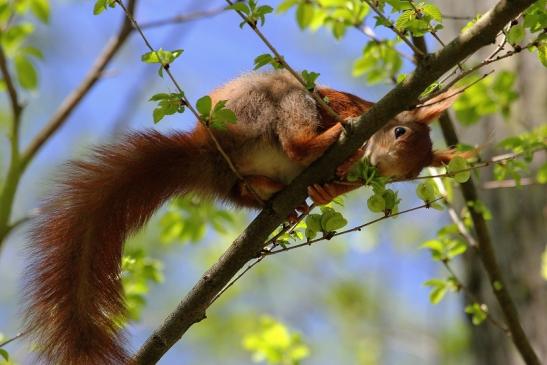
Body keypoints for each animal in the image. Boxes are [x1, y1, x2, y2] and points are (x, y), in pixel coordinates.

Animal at [22, 69, 458, 362]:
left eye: (407, 177)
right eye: (399, 131)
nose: (378, 168)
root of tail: (209, 149)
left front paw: (325, 191)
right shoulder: (346, 107)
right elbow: (340, 108)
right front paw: (342, 135)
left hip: (241, 173)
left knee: (244, 188)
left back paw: (279, 195)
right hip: (277, 100)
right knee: (296, 142)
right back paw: (324, 139)